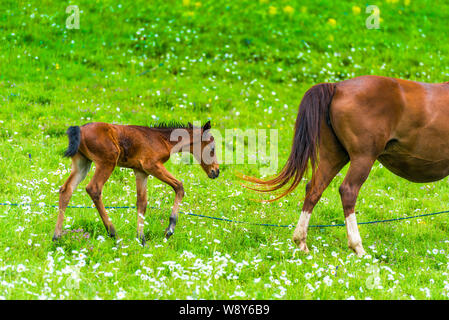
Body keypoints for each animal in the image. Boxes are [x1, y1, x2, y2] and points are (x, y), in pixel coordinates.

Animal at [52, 120, 219, 245]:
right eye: (212, 148)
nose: (216, 171)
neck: (162, 139)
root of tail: (80, 129)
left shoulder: (141, 172)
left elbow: (142, 203)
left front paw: (142, 239)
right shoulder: (152, 165)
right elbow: (179, 186)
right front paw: (169, 229)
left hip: (82, 162)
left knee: (66, 190)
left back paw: (56, 237)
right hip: (107, 161)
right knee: (94, 188)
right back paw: (113, 233)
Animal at [242, 75, 448, 258]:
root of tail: (337, 87)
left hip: (333, 156)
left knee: (314, 189)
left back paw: (301, 241)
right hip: (363, 158)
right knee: (348, 191)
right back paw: (358, 247)